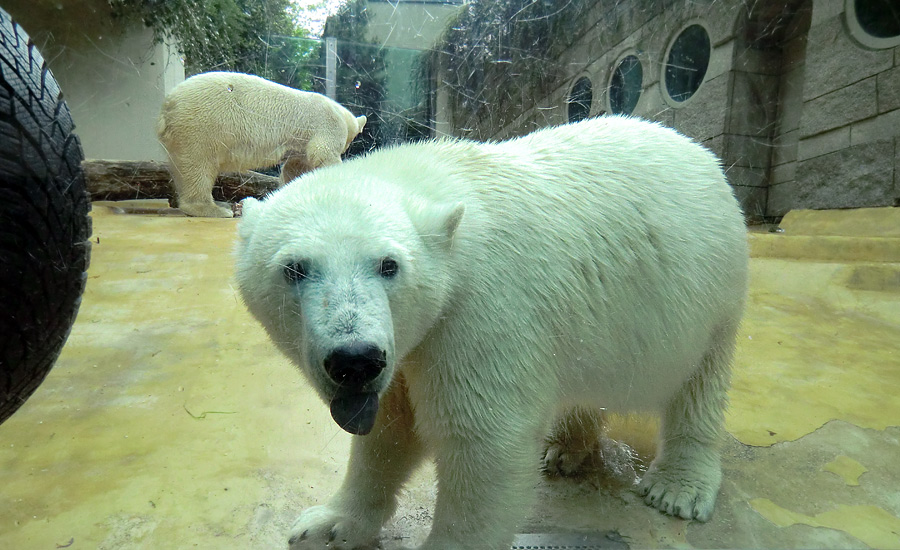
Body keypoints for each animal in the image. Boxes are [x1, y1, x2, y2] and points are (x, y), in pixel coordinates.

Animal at [158, 72, 366, 219]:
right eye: (347, 143)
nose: (346, 147)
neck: (339, 112)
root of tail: (167, 106)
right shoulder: (326, 123)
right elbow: (322, 153)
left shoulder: (300, 145)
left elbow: (295, 167)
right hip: (201, 127)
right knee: (199, 167)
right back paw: (217, 209)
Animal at [234, 114, 752, 548]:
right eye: (295, 268)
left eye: (389, 265)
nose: (356, 360)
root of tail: (701, 153)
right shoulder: (410, 344)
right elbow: (389, 428)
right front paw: (327, 523)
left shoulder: (481, 311)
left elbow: (483, 443)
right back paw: (563, 448)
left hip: (707, 293)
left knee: (700, 382)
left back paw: (677, 487)